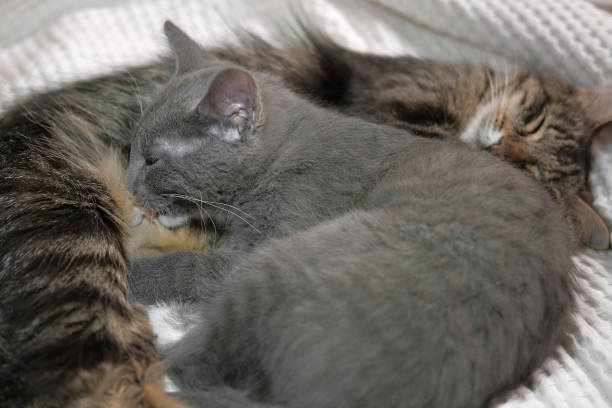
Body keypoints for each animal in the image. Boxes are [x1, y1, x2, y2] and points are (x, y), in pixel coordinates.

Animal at [126, 22, 576, 408]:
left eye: (152, 160)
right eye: (132, 149)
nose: (129, 186)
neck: (281, 155)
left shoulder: (278, 226)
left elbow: (187, 267)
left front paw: (131, 272)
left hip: (275, 266)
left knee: (189, 363)